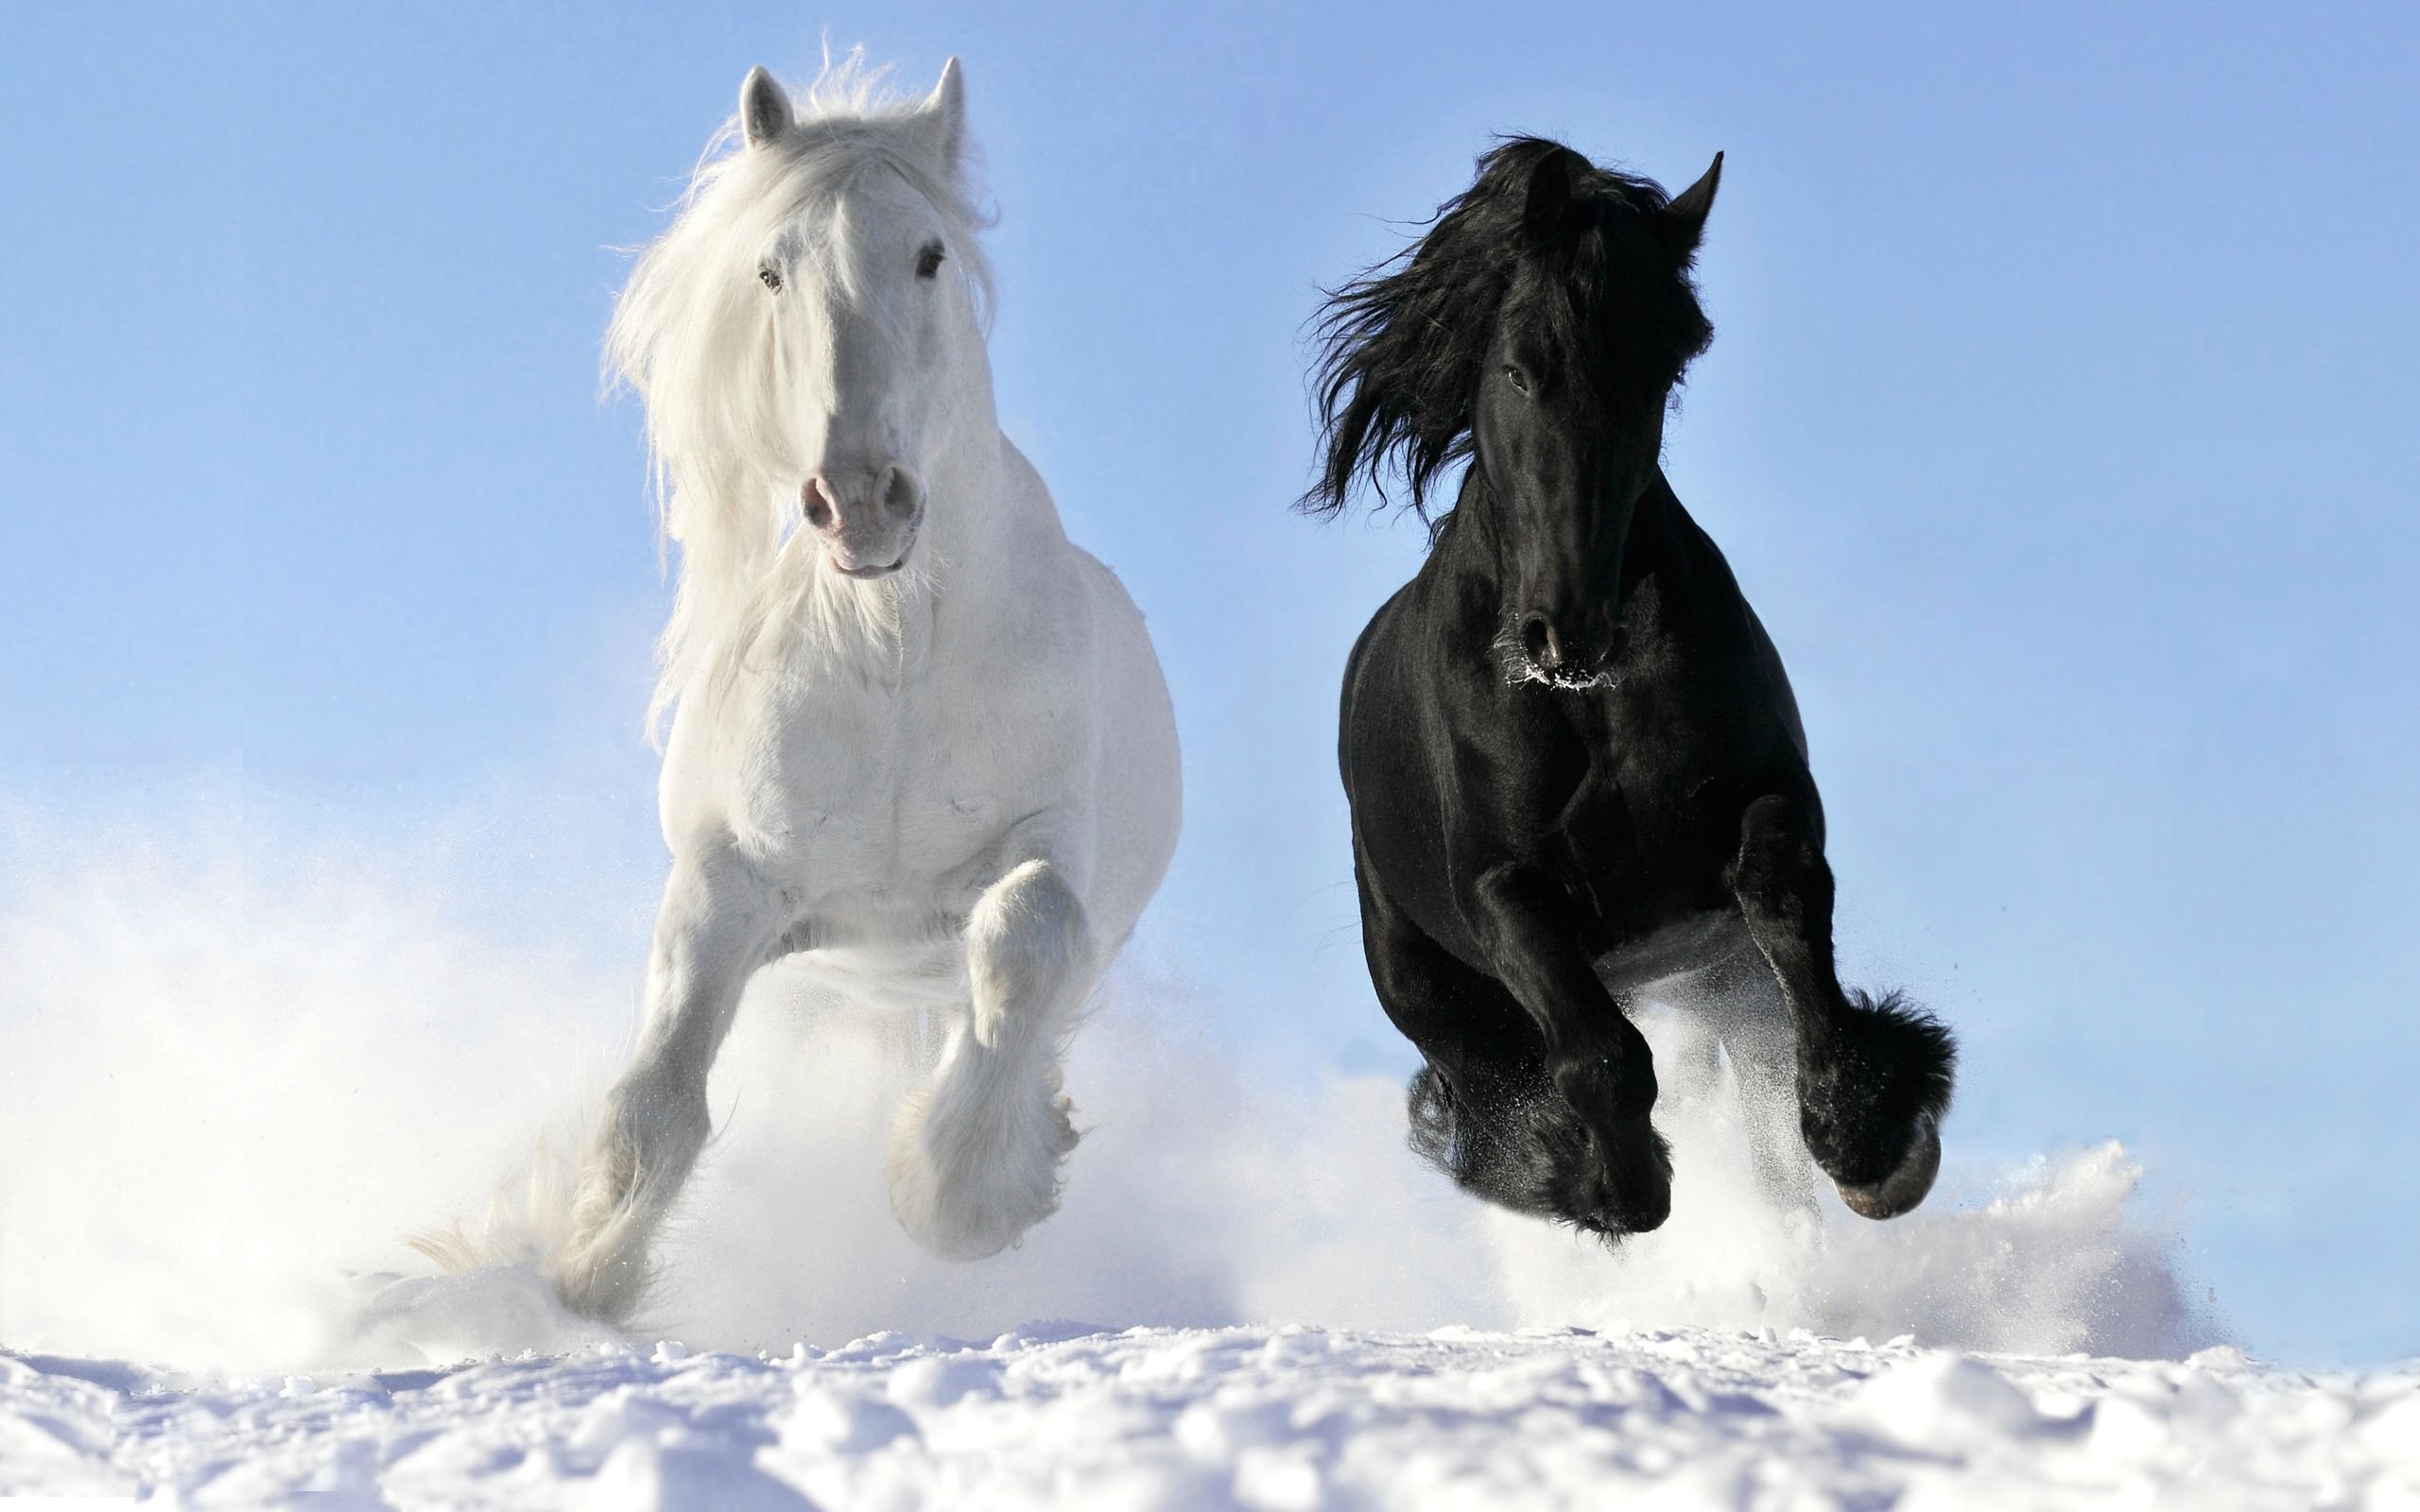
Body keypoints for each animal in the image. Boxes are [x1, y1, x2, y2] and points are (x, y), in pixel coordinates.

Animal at [549, 56, 1181, 1322]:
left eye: (930, 254)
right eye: (769, 268)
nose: (858, 500)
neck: (892, 654)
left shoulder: (1051, 846)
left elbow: (1027, 932)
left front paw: (958, 1195)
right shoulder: (729, 882)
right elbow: (654, 1100)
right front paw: (580, 1276)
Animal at [1302, 138, 1955, 1242]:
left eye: (1659, 370)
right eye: (1519, 367)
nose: (1567, 630)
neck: (1587, 703)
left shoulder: (1766, 803)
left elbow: (1784, 904)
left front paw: (1871, 1136)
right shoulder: (1503, 892)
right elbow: (1598, 1055)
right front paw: (1607, 1180)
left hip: (1716, 977)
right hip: (1427, 983)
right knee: (1494, 1083)